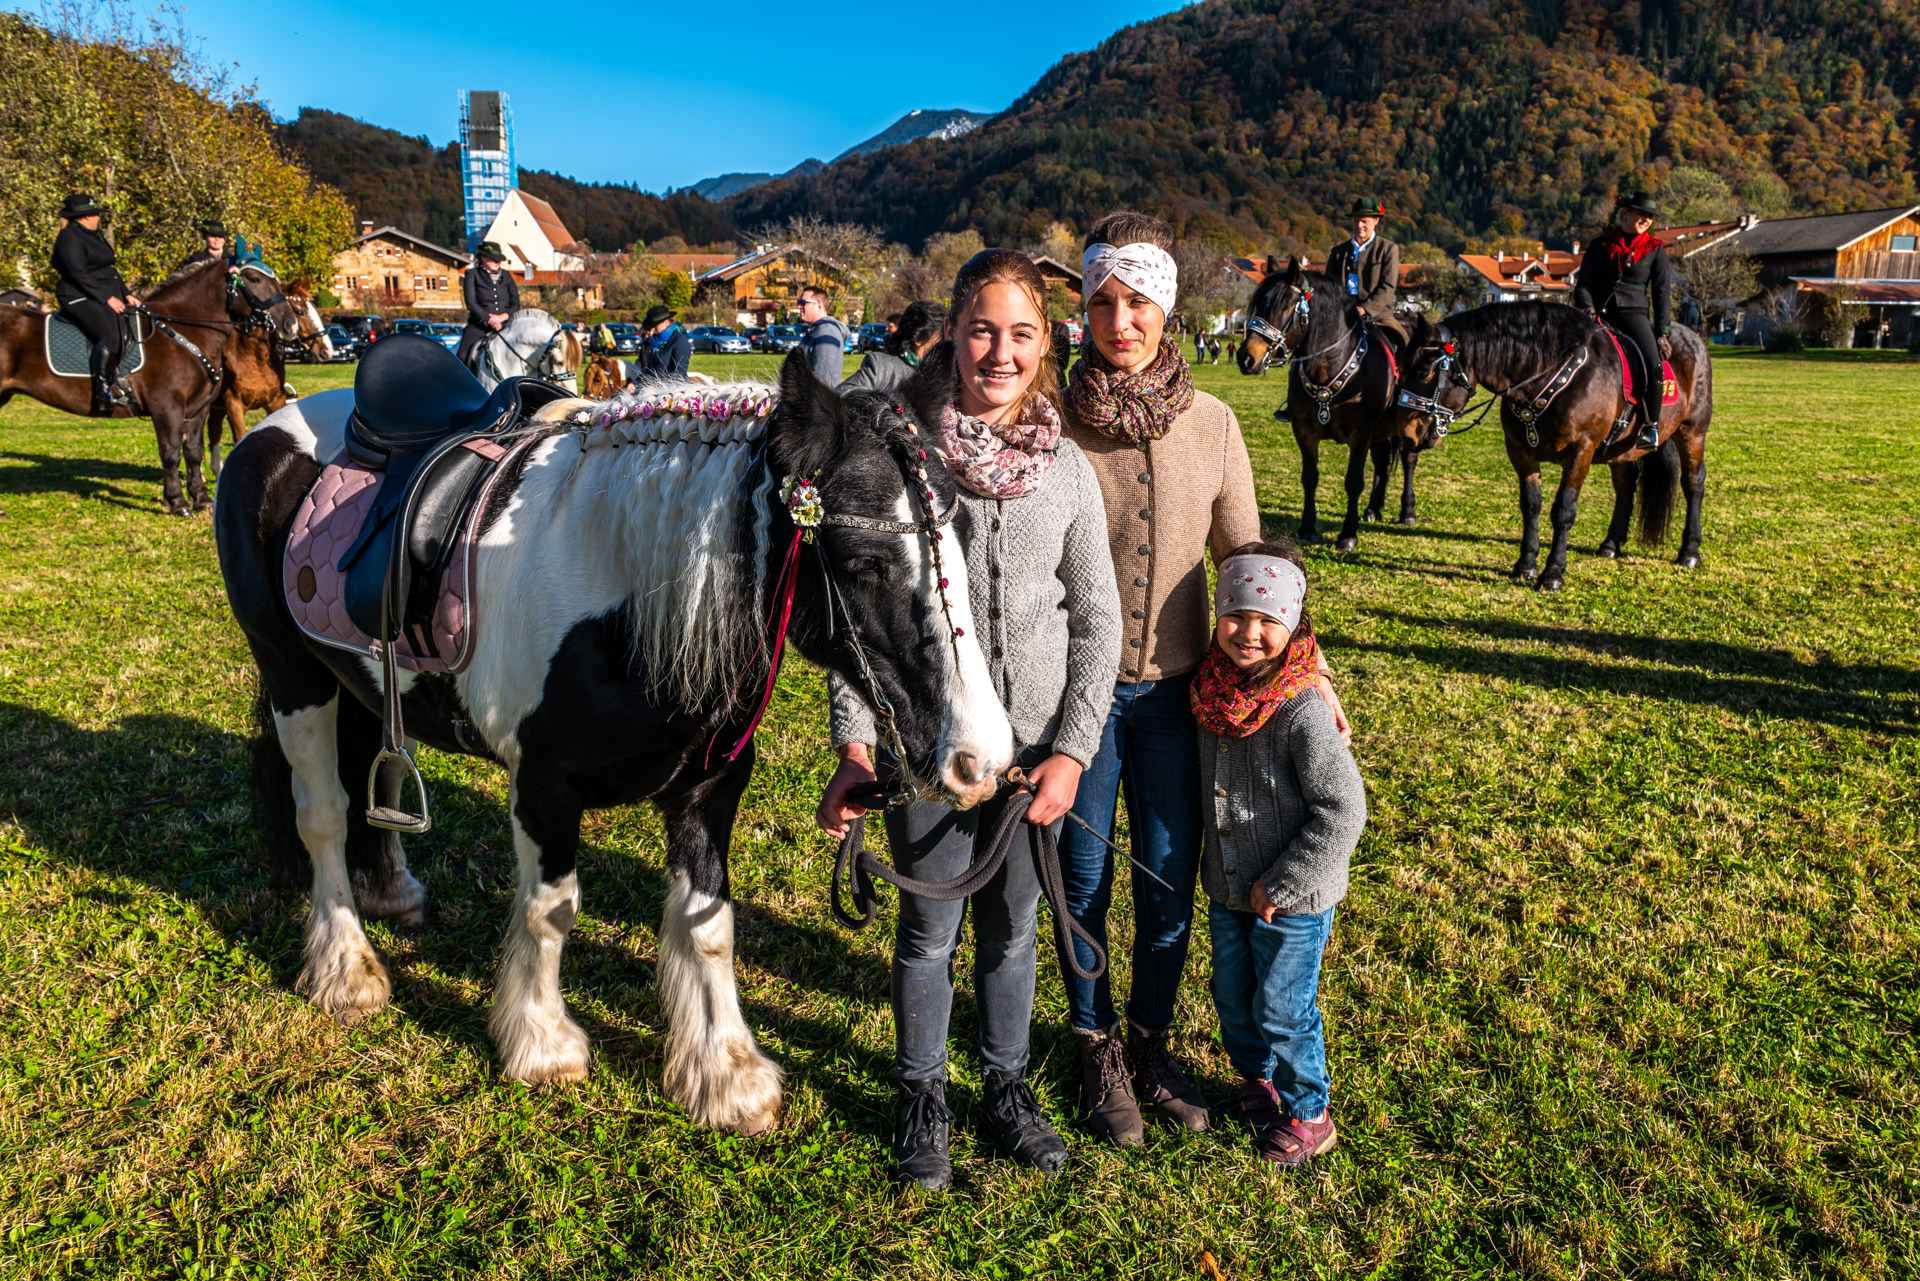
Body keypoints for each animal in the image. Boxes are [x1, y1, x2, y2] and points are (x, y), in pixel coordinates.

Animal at [0, 258, 301, 514]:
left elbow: (193, 452)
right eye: (253, 278)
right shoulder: (167, 407)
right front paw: (178, 502)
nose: (290, 325)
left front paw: (201, 499)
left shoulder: (197, 410)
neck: (183, 332)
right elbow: (170, 453)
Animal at [204, 294, 334, 478]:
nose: (327, 351)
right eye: (300, 311)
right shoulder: (234, 406)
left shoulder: (275, 402)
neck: (255, 358)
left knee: (214, 429)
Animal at [212, 347, 1012, 1134]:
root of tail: (276, 426)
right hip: (292, 676)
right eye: (863, 563)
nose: (982, 759)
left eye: (968, 541)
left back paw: (389, 889)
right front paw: (542, 1045)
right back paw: (346, 969)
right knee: (322, 816)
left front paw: (723, 1074)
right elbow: (552, 908)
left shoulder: (710, 784)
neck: (619, 591)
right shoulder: (542, 785)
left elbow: (709, 922)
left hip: (362, 683)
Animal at [1236, 258, 1433, 550]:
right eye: (1258, 304)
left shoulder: (1361, 435)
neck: (1330, 366)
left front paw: (1348, 534)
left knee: (1408, 459)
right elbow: (1310, 478)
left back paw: (1407, 511)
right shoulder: (1304, 432)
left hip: (1407, 424)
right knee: (1381, 463)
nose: (1246, 357)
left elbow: (1353, 482)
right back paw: (1373, 509)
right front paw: (1307, 527)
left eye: (1284, 306)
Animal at [1394, 301, 1713, 591]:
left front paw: (1553, 573)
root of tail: (1692, 336)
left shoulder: (1580, 453)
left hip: (1692, 431)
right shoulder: (1520, 453)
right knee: (1625, 484)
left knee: (1693, 482)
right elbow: (1531, 505)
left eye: (1425, 371)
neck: (1551, 373)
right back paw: (1611, 544)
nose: (1407, 434)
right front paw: (1526, 565)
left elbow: (1563, 510)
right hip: (1622, 449)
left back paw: (1689, 552)